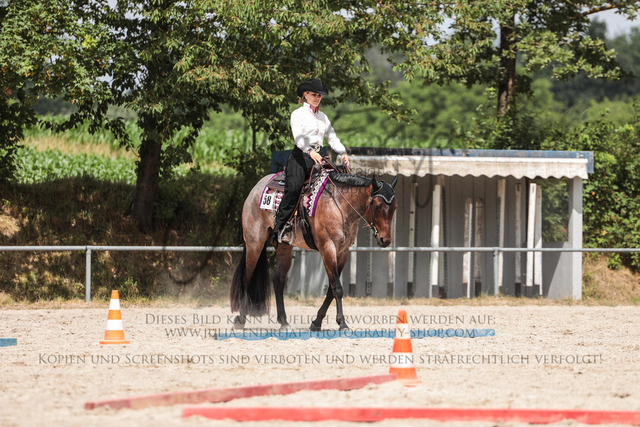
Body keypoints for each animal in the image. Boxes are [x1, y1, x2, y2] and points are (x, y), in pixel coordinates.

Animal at [230, 168, 398, 331]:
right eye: (377, 206)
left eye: (395, 207)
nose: (385, 240)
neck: (339, 204)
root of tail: (256, 188)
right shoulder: (328, 248)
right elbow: (337, 287)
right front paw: (342, 323)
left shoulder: (343, 252)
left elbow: (331, 290)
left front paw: (317, 322)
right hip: (254, 243)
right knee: (247, 278)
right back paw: (241, 319)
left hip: (284, 247)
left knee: (278, 280)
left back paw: (283, 322)